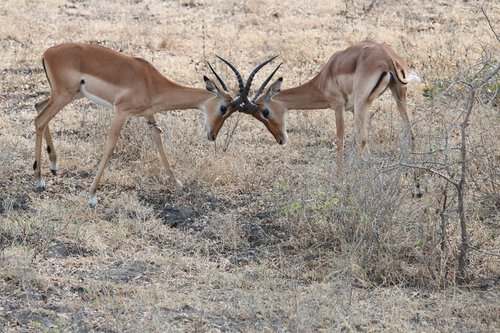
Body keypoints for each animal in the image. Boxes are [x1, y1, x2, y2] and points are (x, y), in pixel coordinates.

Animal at [223, 40, 422, 196]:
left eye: (265, 112)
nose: (280, 139)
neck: (325, 76)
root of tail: (388, 58)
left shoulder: (338, 106)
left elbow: (340, 142)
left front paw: (338, 184)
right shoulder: (350, 110)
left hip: (362, 104)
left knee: (361, 140)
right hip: (397, 95)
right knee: (409, 134)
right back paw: (417, 189)